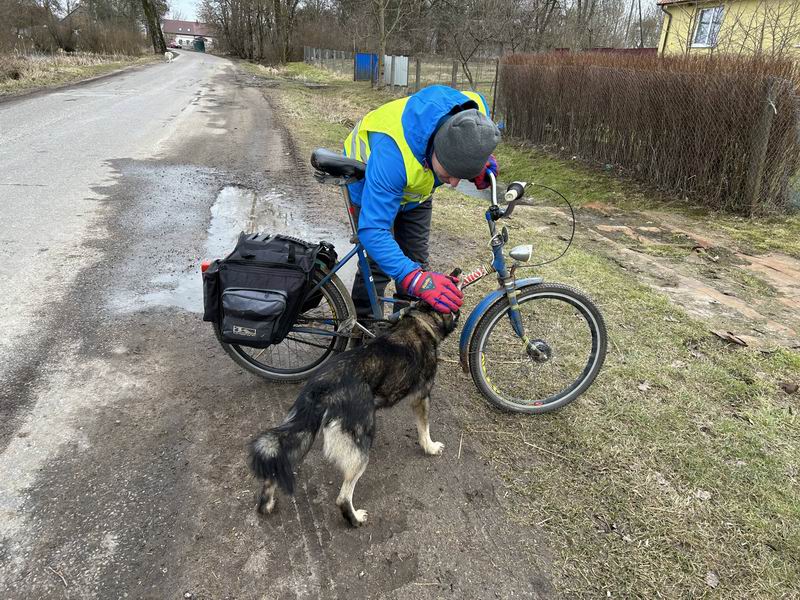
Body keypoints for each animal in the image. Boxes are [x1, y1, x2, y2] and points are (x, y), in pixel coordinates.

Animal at [247, 304, 460, 524]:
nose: (459, 311)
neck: (419, 321)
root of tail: (323, 385)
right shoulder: (422, 397)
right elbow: (424, 429)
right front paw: (430, 447)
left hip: (303, 435)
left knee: (276, 467)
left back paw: (266, 504)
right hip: (361, 450)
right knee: (343, 498)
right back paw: (355, 519)